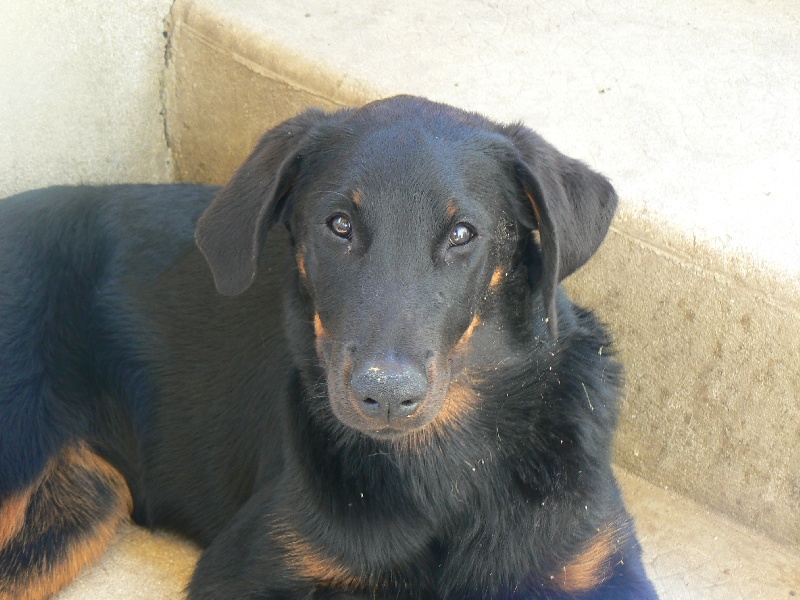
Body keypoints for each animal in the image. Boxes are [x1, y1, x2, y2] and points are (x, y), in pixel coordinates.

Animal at [0, 95, 657, 599]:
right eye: (338, 225)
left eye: (462, 234)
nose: (385, 395)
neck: (446, 463)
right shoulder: (248, 569)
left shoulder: (597, 565)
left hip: (74, 511)